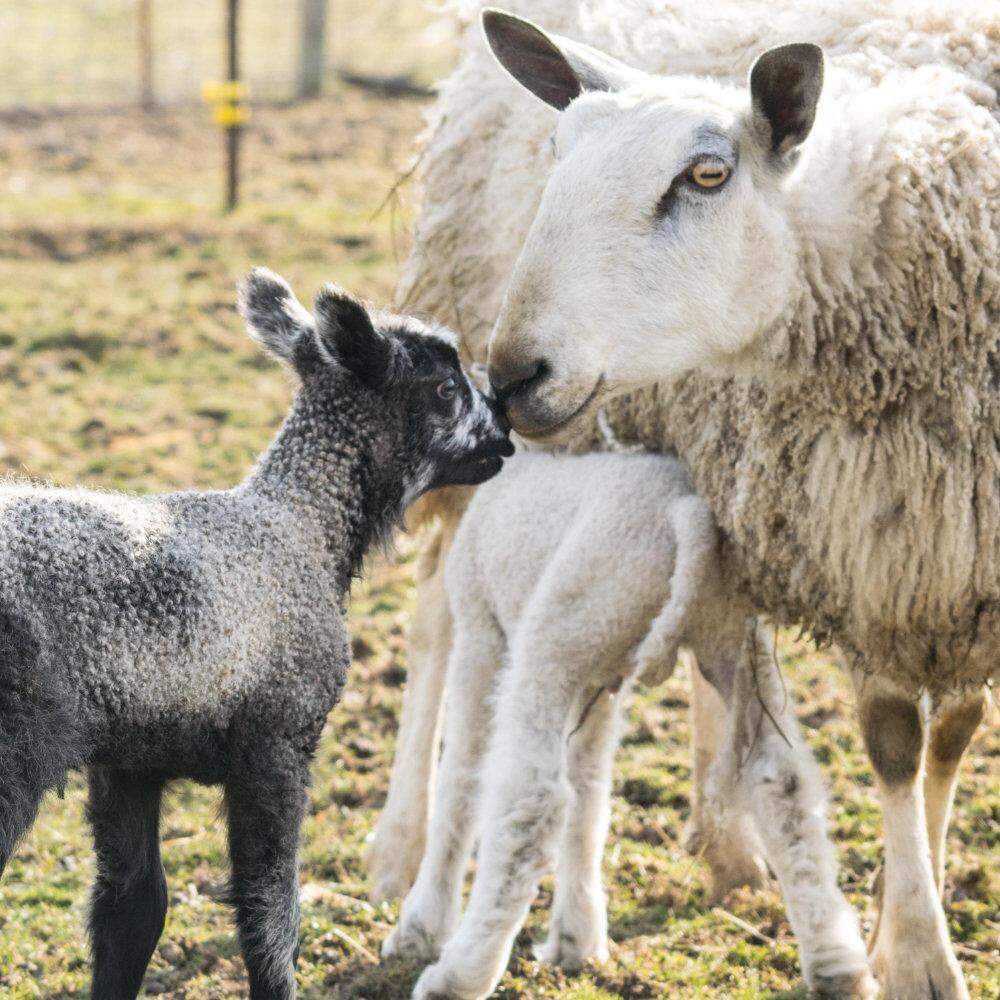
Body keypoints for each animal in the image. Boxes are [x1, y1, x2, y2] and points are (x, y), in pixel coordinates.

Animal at [0, 267, 513, 1000]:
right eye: (445, 387)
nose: (506, 430)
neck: (303, 526)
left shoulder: (132, 757)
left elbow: (133, 911)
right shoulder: (278, 740)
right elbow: (270, 918)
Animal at [380, 449, 874, 1000]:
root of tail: (686, 514)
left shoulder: (481, 631)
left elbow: (460, 783)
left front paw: (421, 926)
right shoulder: (600, 681)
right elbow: (590, 794)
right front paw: (576, 940)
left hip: (558, 633)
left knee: (532, 802)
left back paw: (460, 972)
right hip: (734, 641)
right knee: (782, 782)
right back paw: (838, 965)